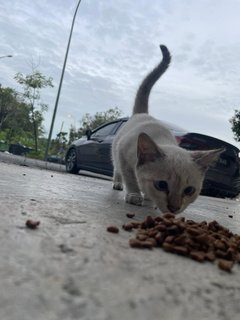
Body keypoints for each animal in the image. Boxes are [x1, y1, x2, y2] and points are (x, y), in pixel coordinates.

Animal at [111, 45, 224, 214]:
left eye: (189, 190)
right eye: (161, 185)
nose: (174, 208)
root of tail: (143, 113)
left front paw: (149, 199)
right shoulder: (123, 154)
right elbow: (130, 178)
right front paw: (134, 195)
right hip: (116, 149)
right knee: (116, 169)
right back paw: (118, 184)